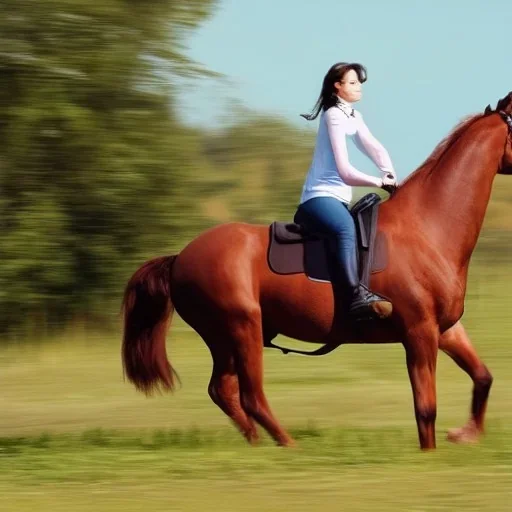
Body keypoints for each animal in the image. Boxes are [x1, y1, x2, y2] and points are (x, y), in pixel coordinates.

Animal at [121, 94, 512, 450]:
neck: (427, 228)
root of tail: (180, 258)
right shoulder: (419, 333)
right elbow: (426, 408)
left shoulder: (444, 329)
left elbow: (483, 377)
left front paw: (466, 434)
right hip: (241, 329)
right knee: (250, 395)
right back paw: (287, 446)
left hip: (226, 338)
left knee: (224, 391)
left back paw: (258, 445)